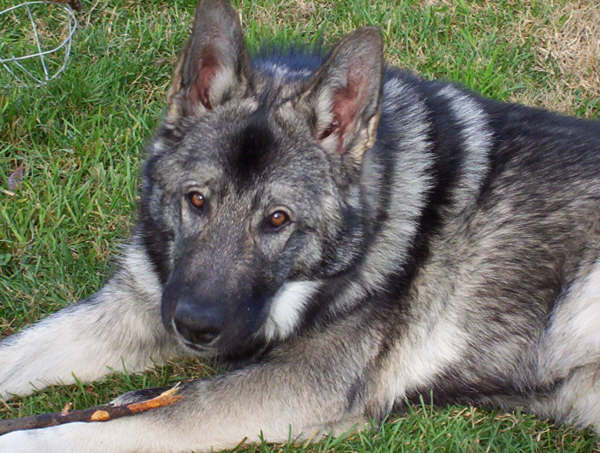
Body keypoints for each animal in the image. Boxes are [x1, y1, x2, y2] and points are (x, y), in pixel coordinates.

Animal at [1, 0, 600, 451]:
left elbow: (141, 418)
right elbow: (18, 350)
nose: (194, 327)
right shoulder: (135, 307)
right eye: (196, 200)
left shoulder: (296, 384)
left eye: (277, 219)